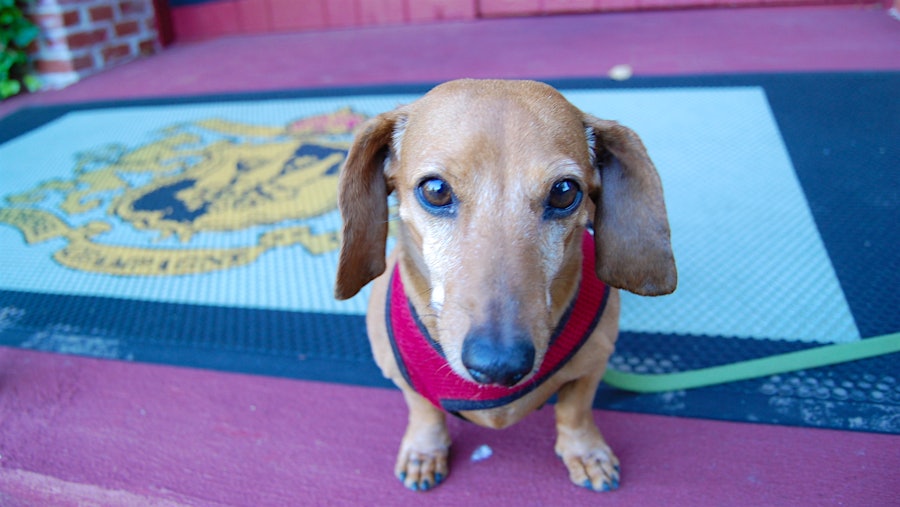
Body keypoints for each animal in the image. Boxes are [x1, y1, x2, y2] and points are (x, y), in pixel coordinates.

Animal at [336, 79, 676, 492]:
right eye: (435, 190)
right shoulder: (402, 377)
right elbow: (424, 411)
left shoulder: (593, 366)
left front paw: (585, 452)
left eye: (565, 191)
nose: (499, 365)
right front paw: (425, 450)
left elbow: (575, 411)